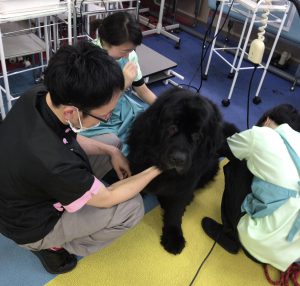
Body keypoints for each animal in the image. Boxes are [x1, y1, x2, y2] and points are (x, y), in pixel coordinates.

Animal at [127, 87, 230, 255]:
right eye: (172, 127)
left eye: (197, 135)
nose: (178, 159)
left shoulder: (185, 184)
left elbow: (175, 211)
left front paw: (173, 235)